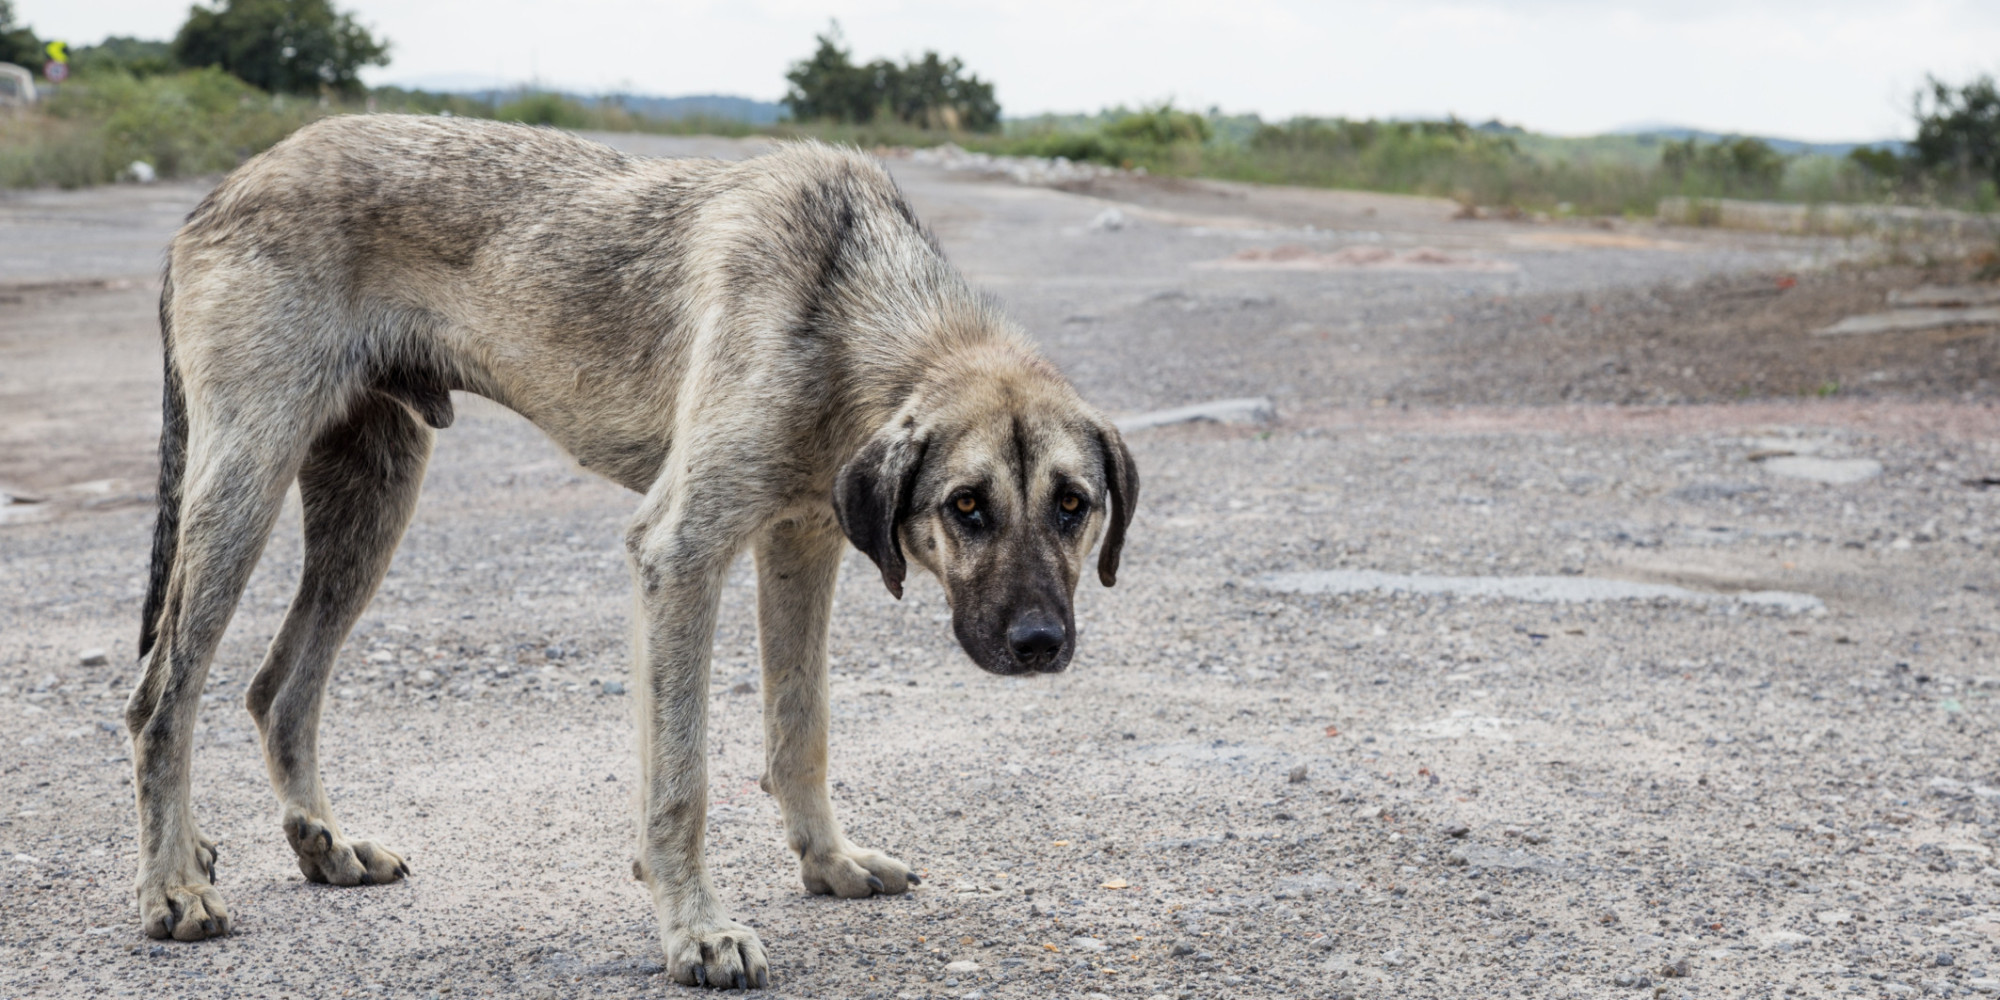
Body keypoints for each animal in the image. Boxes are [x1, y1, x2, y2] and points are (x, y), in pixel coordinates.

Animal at [129, 113, 1144, 988]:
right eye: (966, 506)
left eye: (1074, 506)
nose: (1040, 646)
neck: (847, 301)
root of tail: (220, 192)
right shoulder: (679, 555)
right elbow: (682, 780)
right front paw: (696, 929)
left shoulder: (801, 542)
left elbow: (801, 728)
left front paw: (828, 861)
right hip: (243, 488)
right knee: (160, 698)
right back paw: (175, 885)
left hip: (370, 503)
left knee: (278, 688)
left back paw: (323, 845)